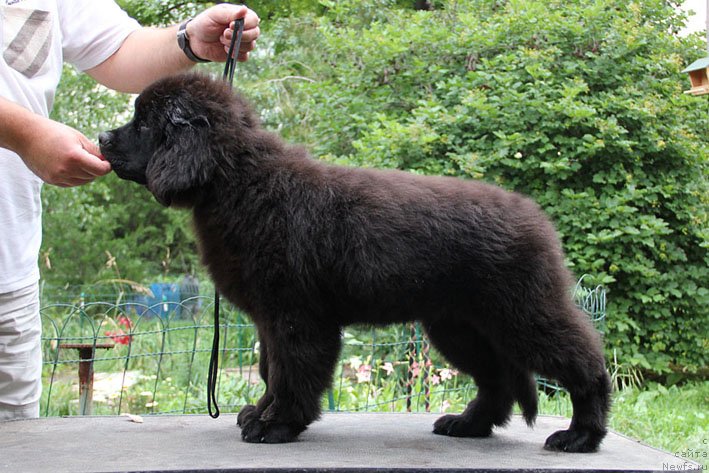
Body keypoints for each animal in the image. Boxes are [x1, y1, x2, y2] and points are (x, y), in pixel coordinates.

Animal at [98, 73, 608, 450]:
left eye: (143, 124)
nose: (101, 137)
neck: (239, 182)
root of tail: (537, 218)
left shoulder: (296, 315)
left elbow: (292, 372)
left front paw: (276, 425)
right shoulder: (270, 319)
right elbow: (270, 369)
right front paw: (260, 412)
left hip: (521, 313)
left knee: (585, 362)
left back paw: (580, 435)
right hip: (458, 326)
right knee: (497, 378)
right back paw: (467, 424)